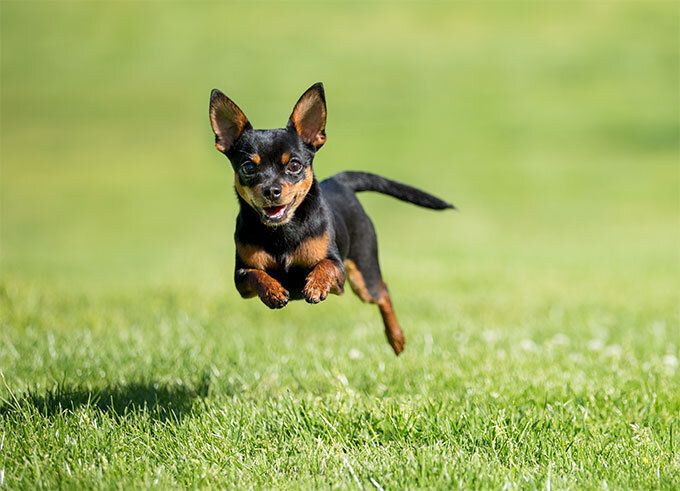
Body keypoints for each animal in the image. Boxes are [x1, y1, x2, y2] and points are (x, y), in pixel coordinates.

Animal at [207, 83, 452, 354]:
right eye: (248, 168)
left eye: (294, 165)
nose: (271, 190)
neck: (283, 231)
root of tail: (339, 181)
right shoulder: (241, 279)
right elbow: (255, 274)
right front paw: (272, 291)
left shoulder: (340, 275)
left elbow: (326, 265)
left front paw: (315, 285)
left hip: (363, 276)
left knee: (383, 292)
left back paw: (396, 338)